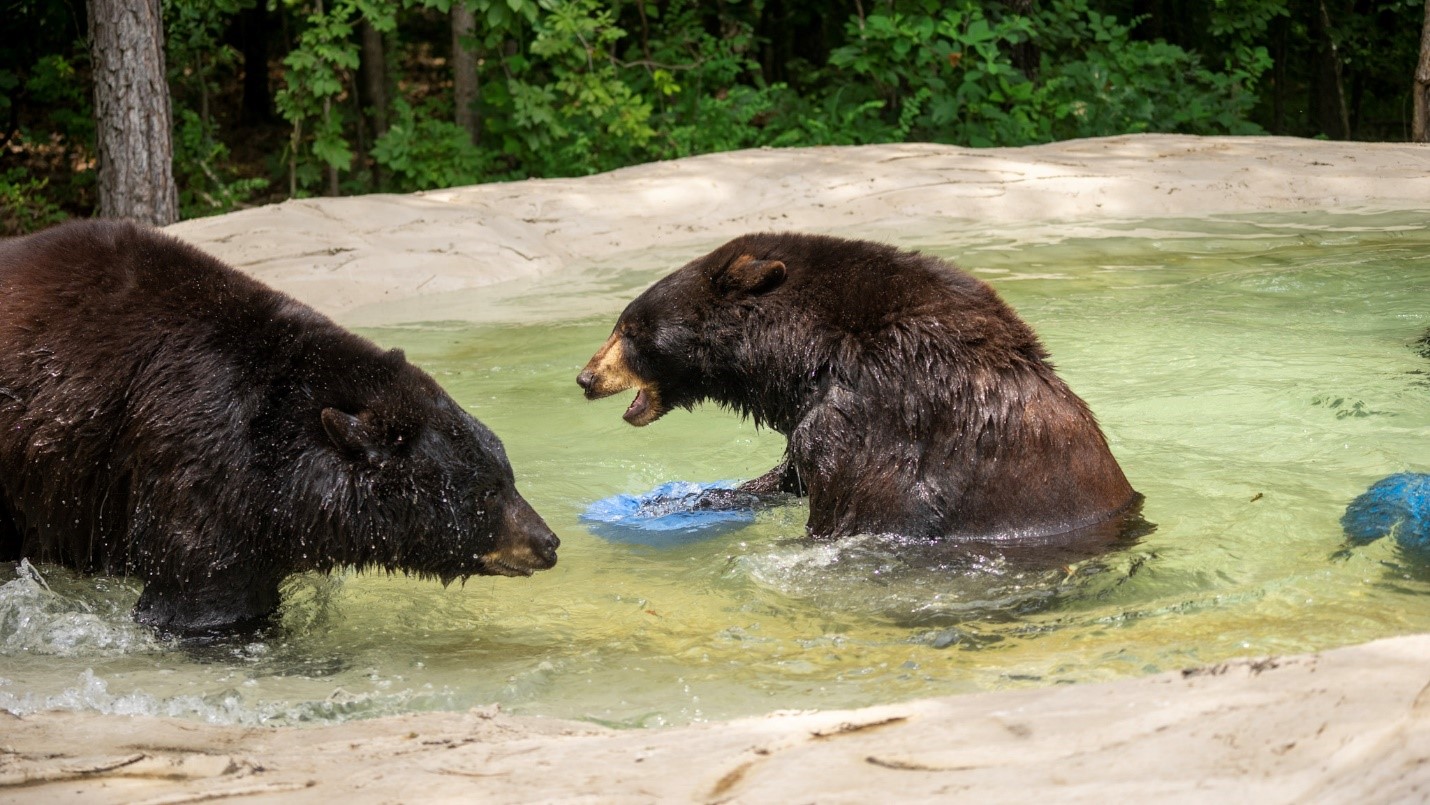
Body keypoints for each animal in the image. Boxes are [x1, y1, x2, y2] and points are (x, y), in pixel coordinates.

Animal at [577, 233, 1138, 549]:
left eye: (629, 329)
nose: (585, 378)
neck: (809, 351)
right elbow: (785, 478)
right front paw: (681, 501)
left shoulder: (877, 410)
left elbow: (846, 495)